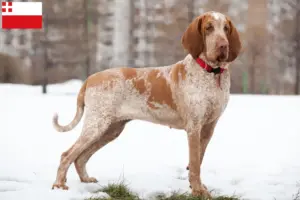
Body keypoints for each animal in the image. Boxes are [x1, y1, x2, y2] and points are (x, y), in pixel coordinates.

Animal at [51, 11, 241, 198]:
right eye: (209, 28)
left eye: (226, 28)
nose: (223, 45)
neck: (211, 73)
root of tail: (90, 79)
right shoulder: (194, 127)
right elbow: (194, 164)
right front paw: (198, 191)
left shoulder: (208, 128)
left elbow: (198, 161)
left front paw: (197, 187)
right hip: (97, 125)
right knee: (67, 155)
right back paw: (59, 185)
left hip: (111, 130)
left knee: (80, 157)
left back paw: (85, 180)